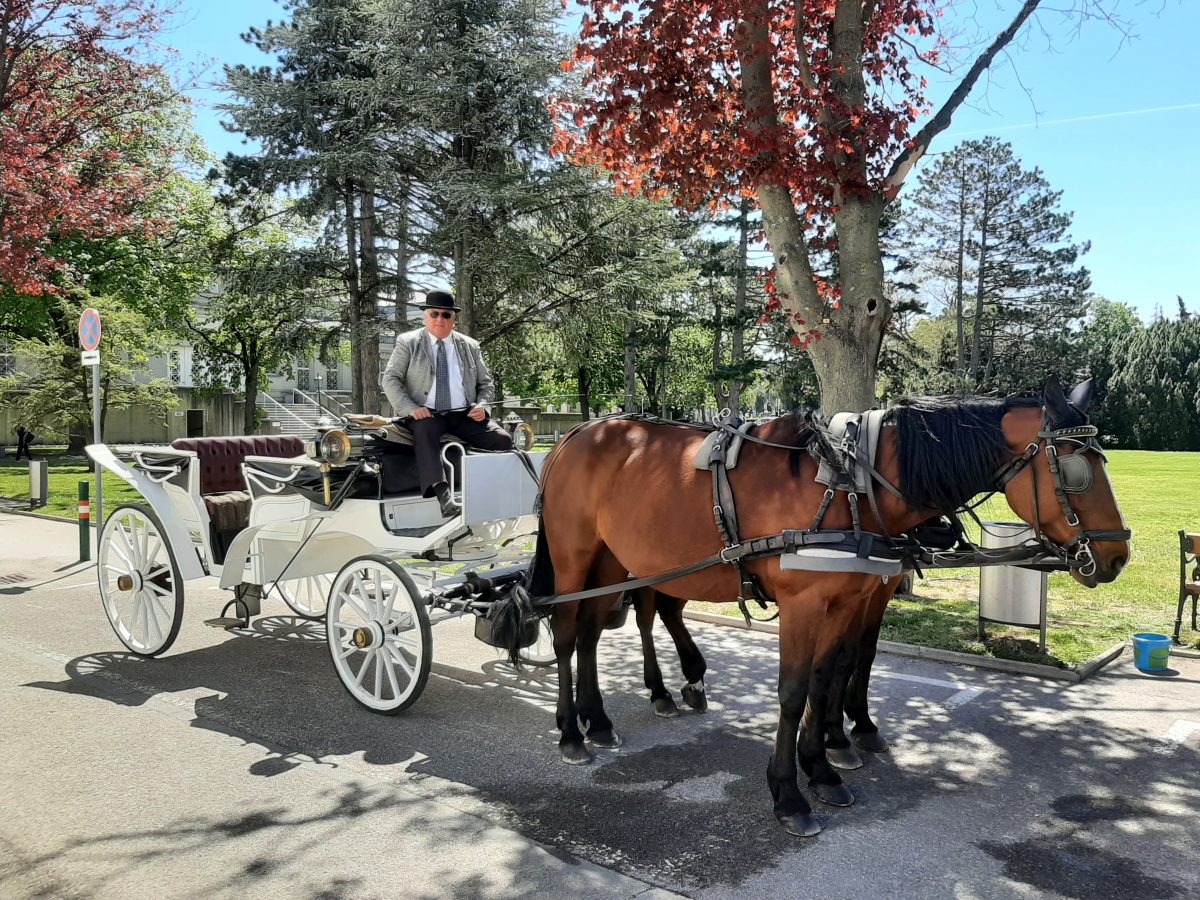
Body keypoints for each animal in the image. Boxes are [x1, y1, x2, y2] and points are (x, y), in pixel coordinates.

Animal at [494, 381, 1123, 840]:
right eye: (1076, 471)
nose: (1118, 554)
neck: (851, 485)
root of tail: (578, 431)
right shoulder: (805, 604)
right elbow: (796, 691)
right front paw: (790, 793)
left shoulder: (851, 597)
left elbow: (834, 674)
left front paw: (825, 760)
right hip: (578, 556)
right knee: (571, 633)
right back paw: (573, 730)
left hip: (617, 561)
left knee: (603, 629)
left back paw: (606, 717)